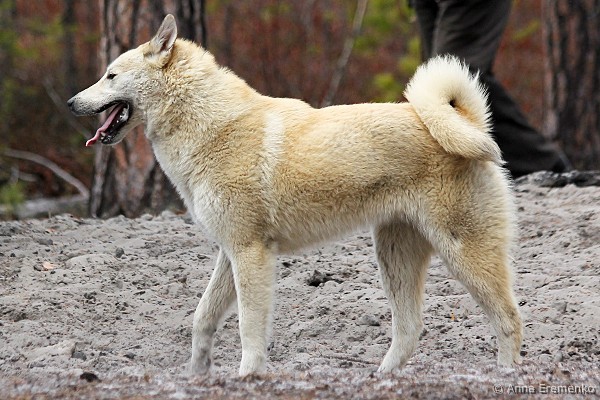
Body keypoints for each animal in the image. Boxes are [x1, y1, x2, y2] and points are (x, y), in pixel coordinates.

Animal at [68, 14, 523, 377]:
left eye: (110, 75)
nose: (72, 103)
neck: (213, 127)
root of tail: (468, 123)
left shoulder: (250, 254)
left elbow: (249, 327)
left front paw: (247, 376)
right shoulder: (229, 253)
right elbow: (202, 319)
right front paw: (197, 373)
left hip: (464, 254)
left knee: (509, 318)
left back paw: (505, 375)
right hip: (395, 255)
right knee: (410, 329)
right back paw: (379, 377)